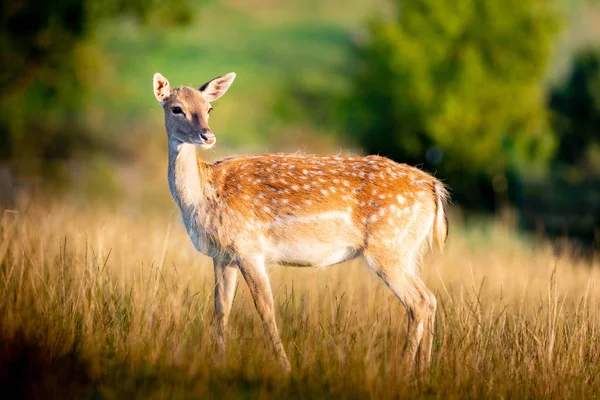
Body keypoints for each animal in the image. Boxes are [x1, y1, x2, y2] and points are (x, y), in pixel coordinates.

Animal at [152, 71, 448, 372]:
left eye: (209, 108)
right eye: (176, 108)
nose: (207, 136)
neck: (203, 195)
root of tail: (433, 187)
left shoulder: (249, 248)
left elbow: (265, 308)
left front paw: (285, 367)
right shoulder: (222, 256)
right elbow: (221, 309)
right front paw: (218, 363)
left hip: (388, 247)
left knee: (418, 302)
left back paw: (404, 369)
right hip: (406, 250)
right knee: (430, 299)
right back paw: (423, 370)